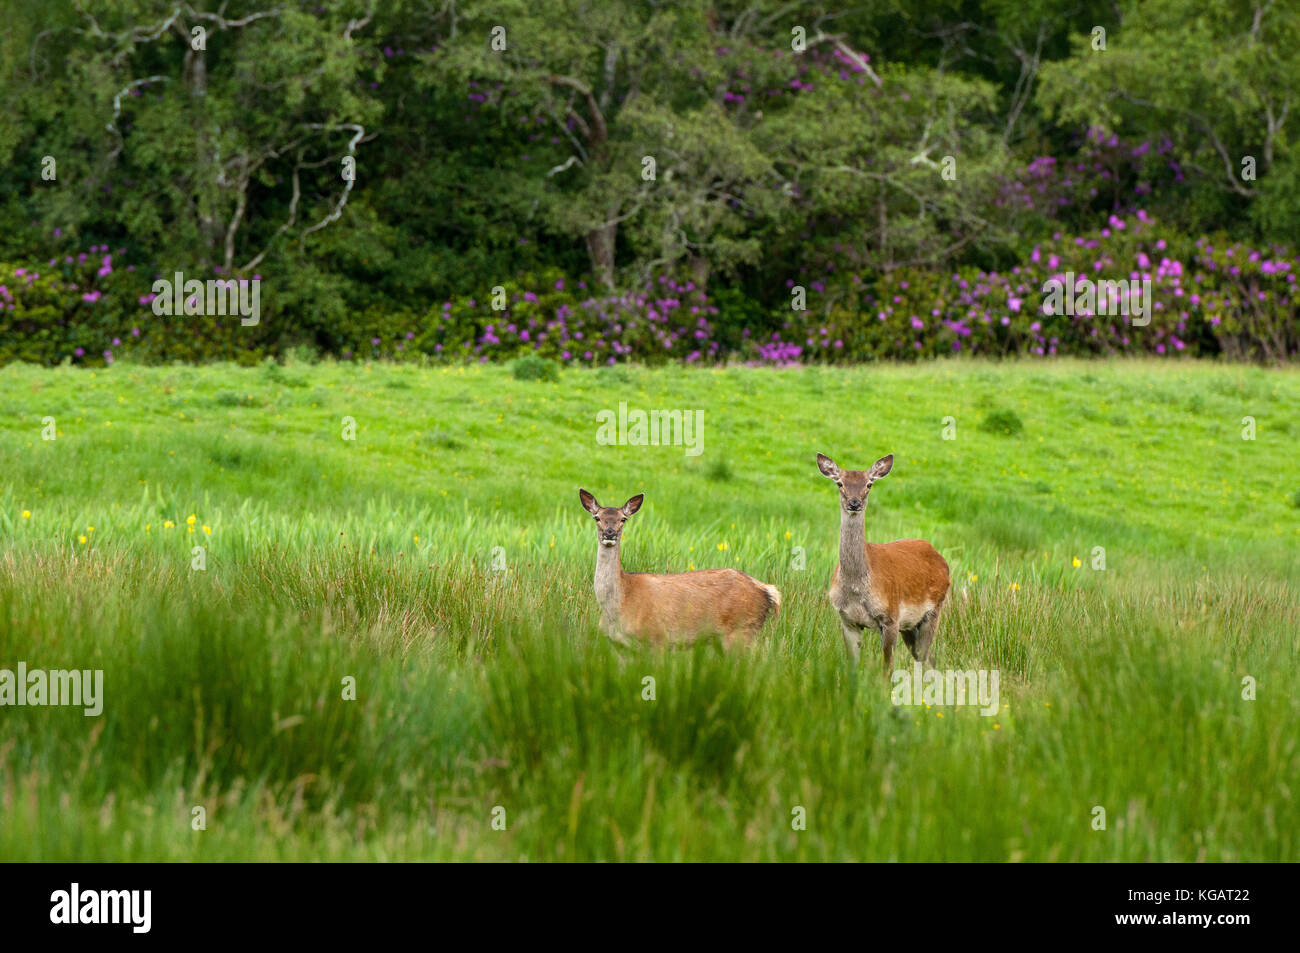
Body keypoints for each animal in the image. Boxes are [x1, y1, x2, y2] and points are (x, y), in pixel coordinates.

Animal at [582, 491, 780, 647]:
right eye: (597, 517)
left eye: (623, 519)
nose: (609, 533)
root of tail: (767, 590)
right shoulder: (618, 646)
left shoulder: (658, 638)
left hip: (742, 631)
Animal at [816, 452, 951, 670]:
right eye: (839, 483)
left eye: (869, 484)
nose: (854, 503)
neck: (856, 589)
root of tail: (942, 560)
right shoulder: (847, 620)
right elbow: (852, 668)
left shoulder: (890, 618)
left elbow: (887, 669)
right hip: (910, 626)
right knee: (927, 657)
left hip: (933, 611)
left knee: (925, 657)